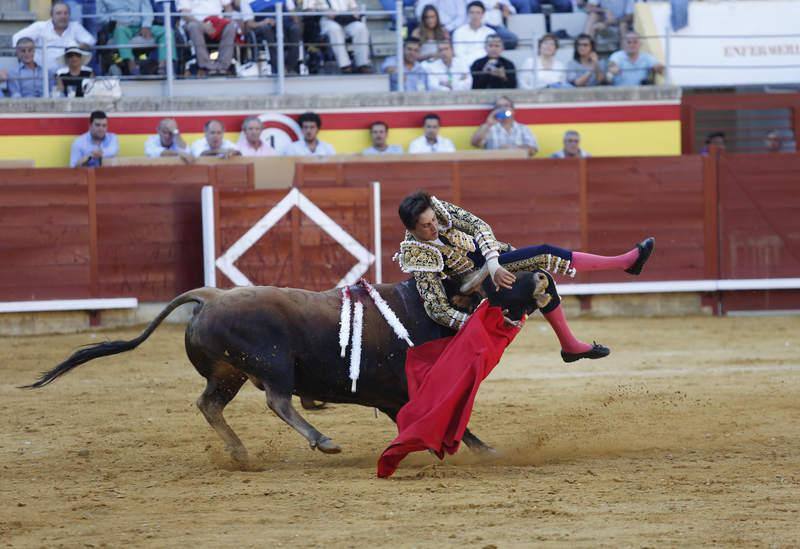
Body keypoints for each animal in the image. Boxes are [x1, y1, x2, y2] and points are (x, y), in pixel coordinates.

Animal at [23, 270, 552, 462]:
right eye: (500, 283)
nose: (542, 281)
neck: (425, 310)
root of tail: (211, 295)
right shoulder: (413, 389)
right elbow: (454, 421)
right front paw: (482, 452)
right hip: (271, 364)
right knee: (277, 400)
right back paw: (323, 440)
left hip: (229, 373)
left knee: (209, 404)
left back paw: (240, 453)